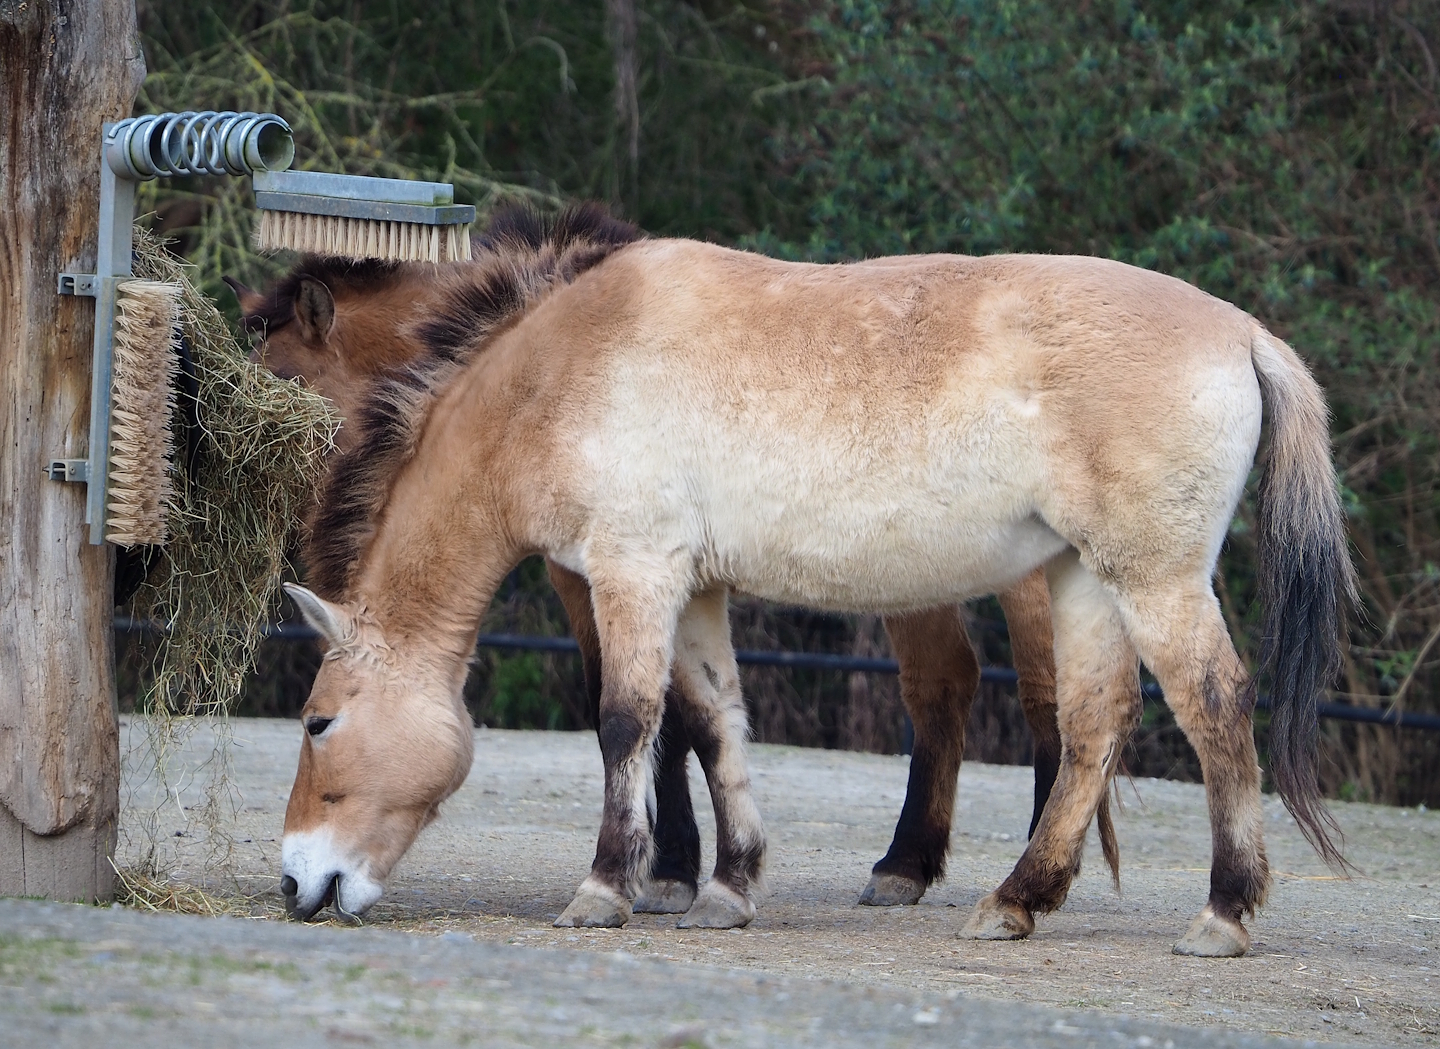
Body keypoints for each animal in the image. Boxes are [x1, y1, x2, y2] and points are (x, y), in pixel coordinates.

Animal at [273, 217, 1353, 957]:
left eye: (319, 720)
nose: (296, 882)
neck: (562, 367)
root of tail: (1242, 332)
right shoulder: (695, 590)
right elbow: (714, 723)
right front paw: (728, 885)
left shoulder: (634, 572)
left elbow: (627, 721)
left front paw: (607, 888)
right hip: (1083, 578)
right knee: (1092, 721)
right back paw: (1016, 899)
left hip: (1153, 578)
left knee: (1216, 705)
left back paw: (1222, 910)